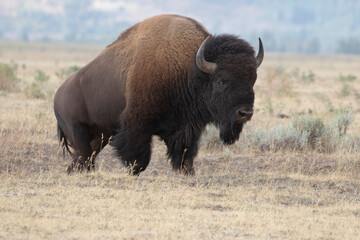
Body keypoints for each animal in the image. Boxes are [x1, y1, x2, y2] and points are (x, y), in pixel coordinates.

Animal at [55, 14, 264, 174]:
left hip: (101, 135)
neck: (189, 69)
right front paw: (134, 171)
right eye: (221, 80)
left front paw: (188, 172)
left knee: (84, 157)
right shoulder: (137, 124)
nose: (245, 113)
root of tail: (58, 95)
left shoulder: (188, 128)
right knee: (84, 155)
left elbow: (185, 155)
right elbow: (139, 157)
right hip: (78, 130)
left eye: (253, 79)